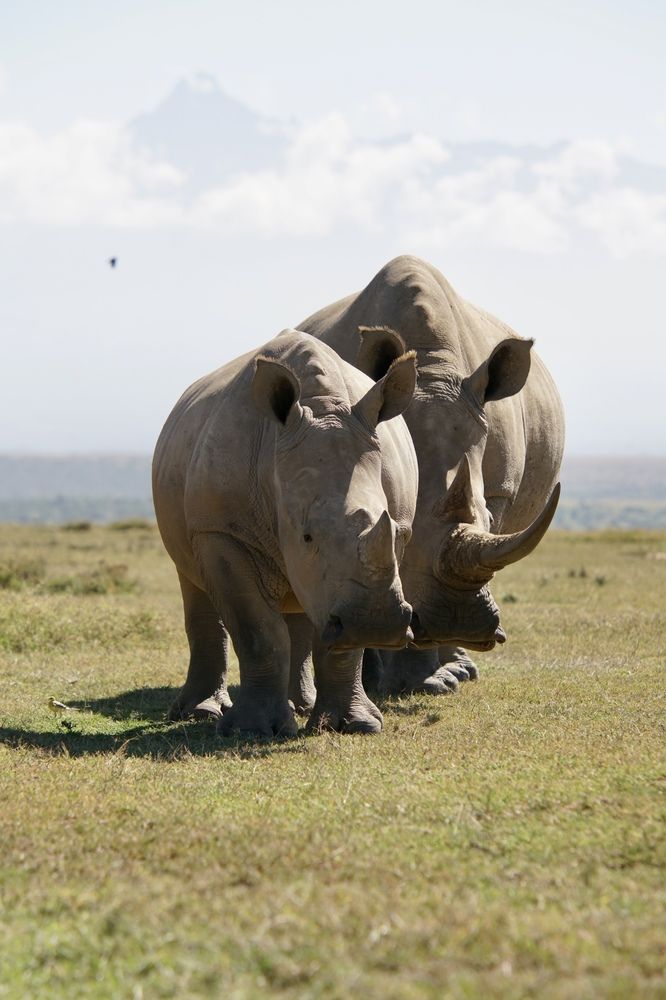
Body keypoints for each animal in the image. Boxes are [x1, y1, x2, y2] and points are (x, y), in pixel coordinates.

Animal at [152, 330, 420, 735]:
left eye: (399, 536)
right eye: (307, 536)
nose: (374, 622)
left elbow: (338, 639)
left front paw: (355, 725)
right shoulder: (222, 532)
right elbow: (258, 632)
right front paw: (251, 730)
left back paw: (301, 705)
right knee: (195, 585)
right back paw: (201, 713)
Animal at [297, 255, 564, 694]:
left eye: (488, 517)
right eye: (400, 532)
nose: (456, 621)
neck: (432, 368)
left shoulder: (502, 491)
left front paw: (434, 677)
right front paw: (408, 679)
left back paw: (457, 670)